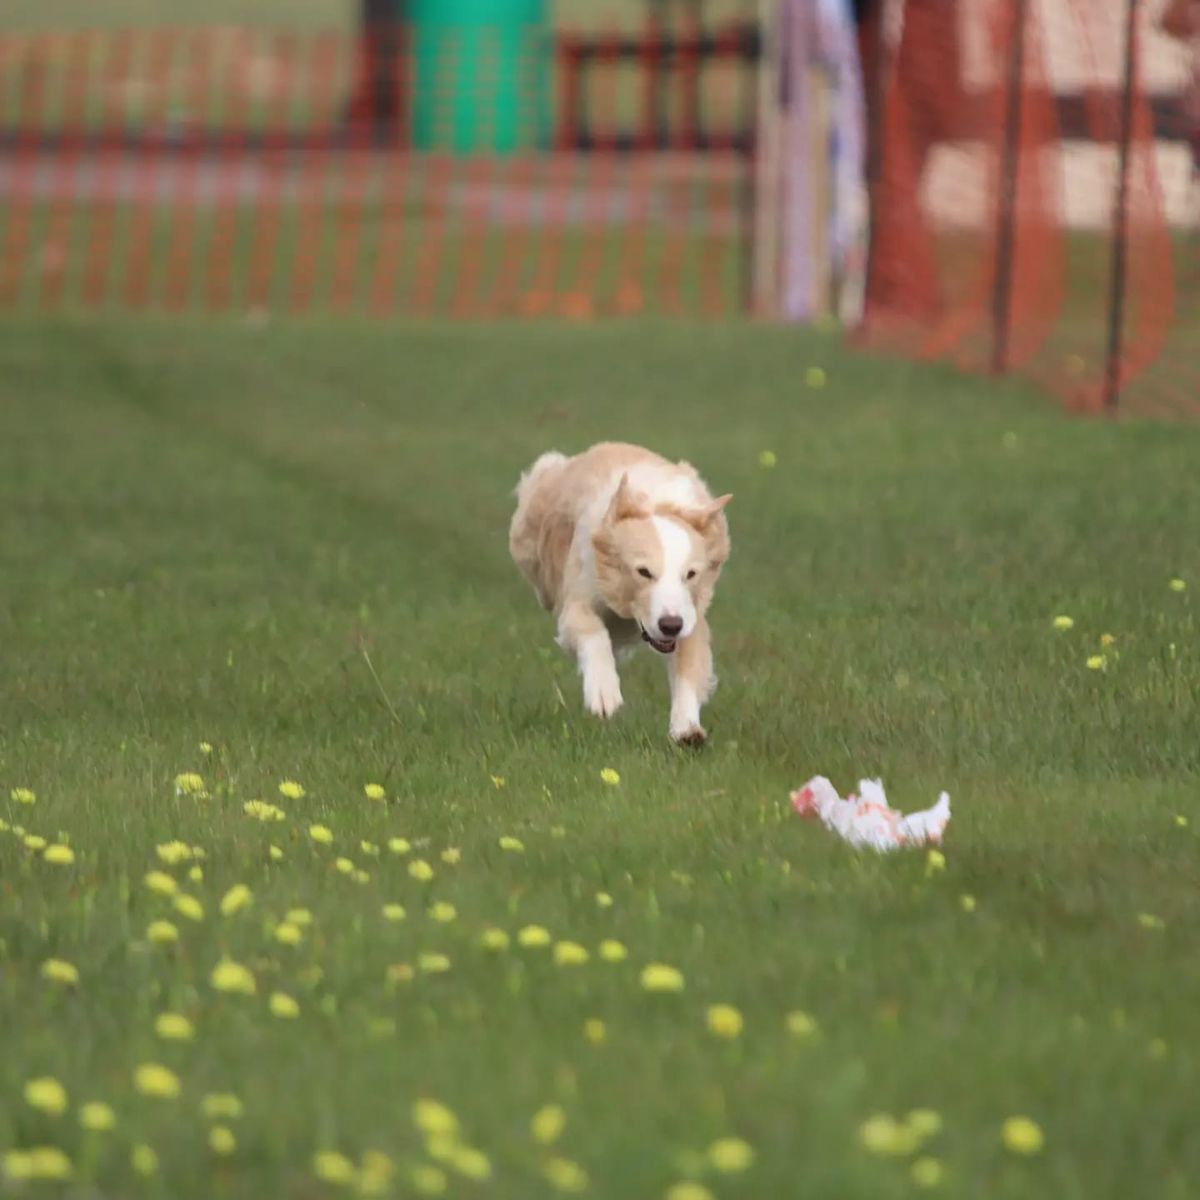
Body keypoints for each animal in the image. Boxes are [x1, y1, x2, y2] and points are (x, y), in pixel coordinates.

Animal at [506, 441, 729, 739]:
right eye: (643, 571)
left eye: (691, 574)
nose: (670, 626)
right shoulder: (578, 602)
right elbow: (594, 634)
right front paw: (604, 695)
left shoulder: (690, 616)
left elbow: (690, 666)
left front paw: (686, 728)